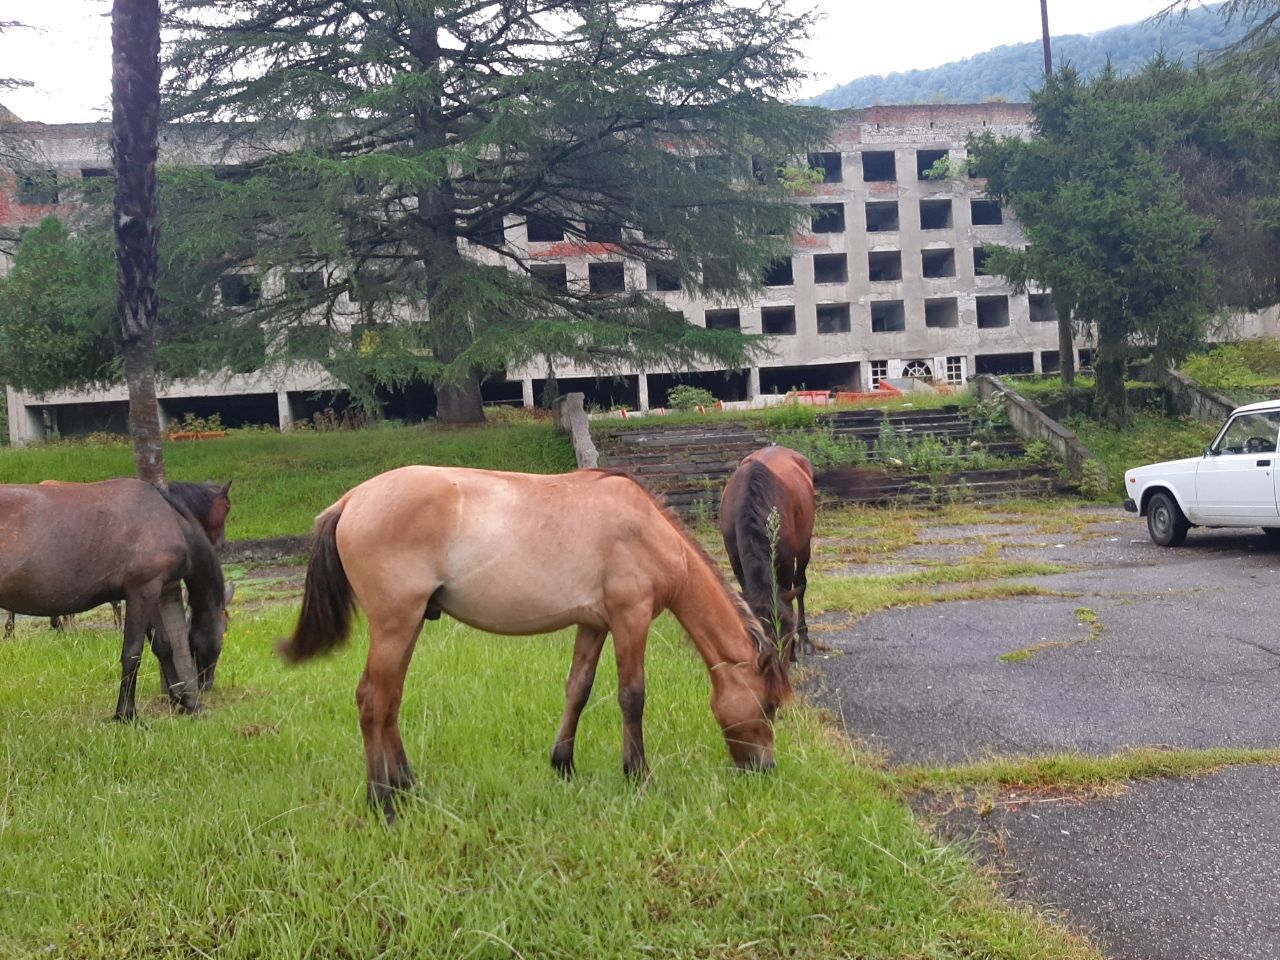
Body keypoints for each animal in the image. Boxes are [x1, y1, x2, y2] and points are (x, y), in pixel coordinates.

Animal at [280, 465, 788, 819]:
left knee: (390, 702)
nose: (765, 769)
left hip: (408, 626)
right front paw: (638, 775)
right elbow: (632, 697)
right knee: (373, 700)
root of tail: (351, 500)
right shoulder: (631, 617)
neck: (647, 529)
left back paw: (408, 787)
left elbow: (578, 690)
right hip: (394, 625)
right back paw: (382, 801)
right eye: (769, 706)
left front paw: (563, 764)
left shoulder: (594, 624)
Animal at [727, 445, 814, 660]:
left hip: (804, 545)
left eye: (787, 630)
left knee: (800, 584)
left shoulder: (786, 559)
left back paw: (805, 638)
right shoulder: (734, 559)